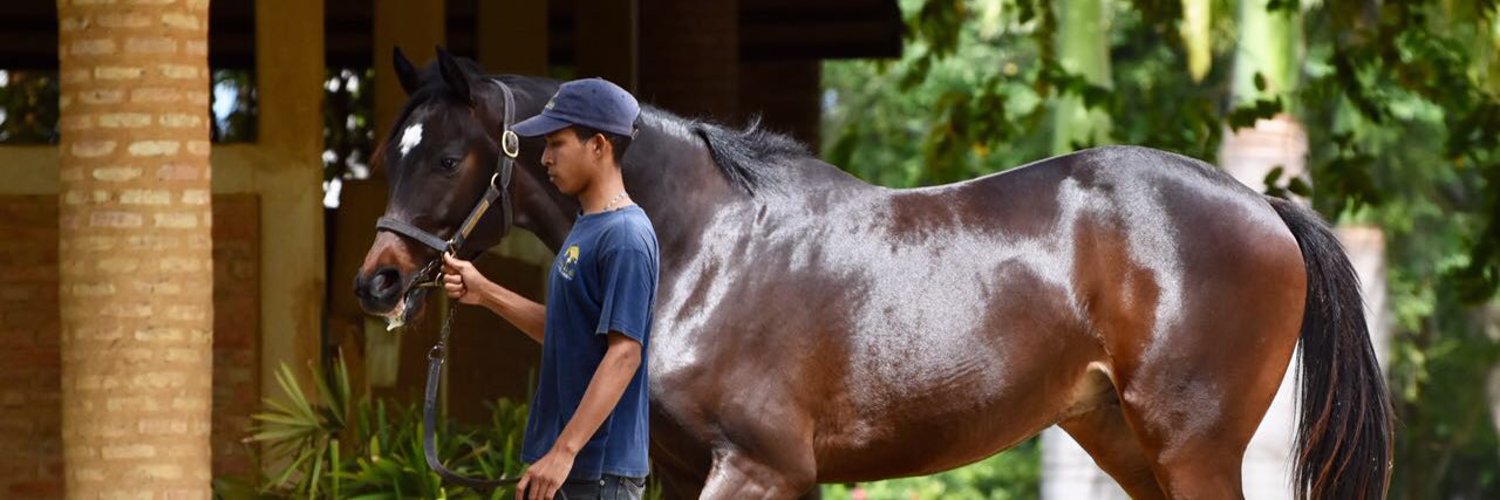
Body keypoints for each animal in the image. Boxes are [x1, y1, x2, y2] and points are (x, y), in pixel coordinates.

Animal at [354, 47, 1392, 498]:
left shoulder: (761, 470)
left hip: (1193, 447)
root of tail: (1264, 206)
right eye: (388, 145)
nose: (379, 281)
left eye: (446, 156)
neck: (701, 245)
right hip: (1126, 443)